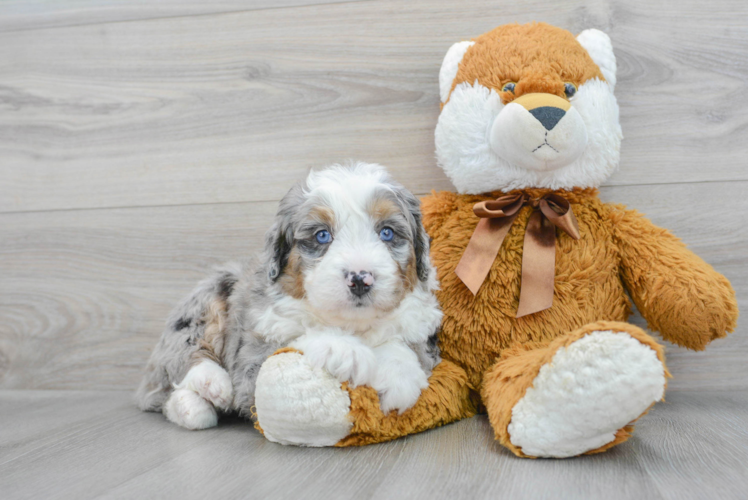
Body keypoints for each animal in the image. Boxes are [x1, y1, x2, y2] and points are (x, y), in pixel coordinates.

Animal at [137, 163, 442, 430]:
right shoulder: (251, 358)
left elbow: (400, 343)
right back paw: (207, 390)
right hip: (210, 292)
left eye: (387, 232)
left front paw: (399, 376)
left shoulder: (423, 335)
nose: (359, 279)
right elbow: (299, 335)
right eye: (322, 235)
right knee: (178, 358)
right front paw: (346, 351)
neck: (351, 324)